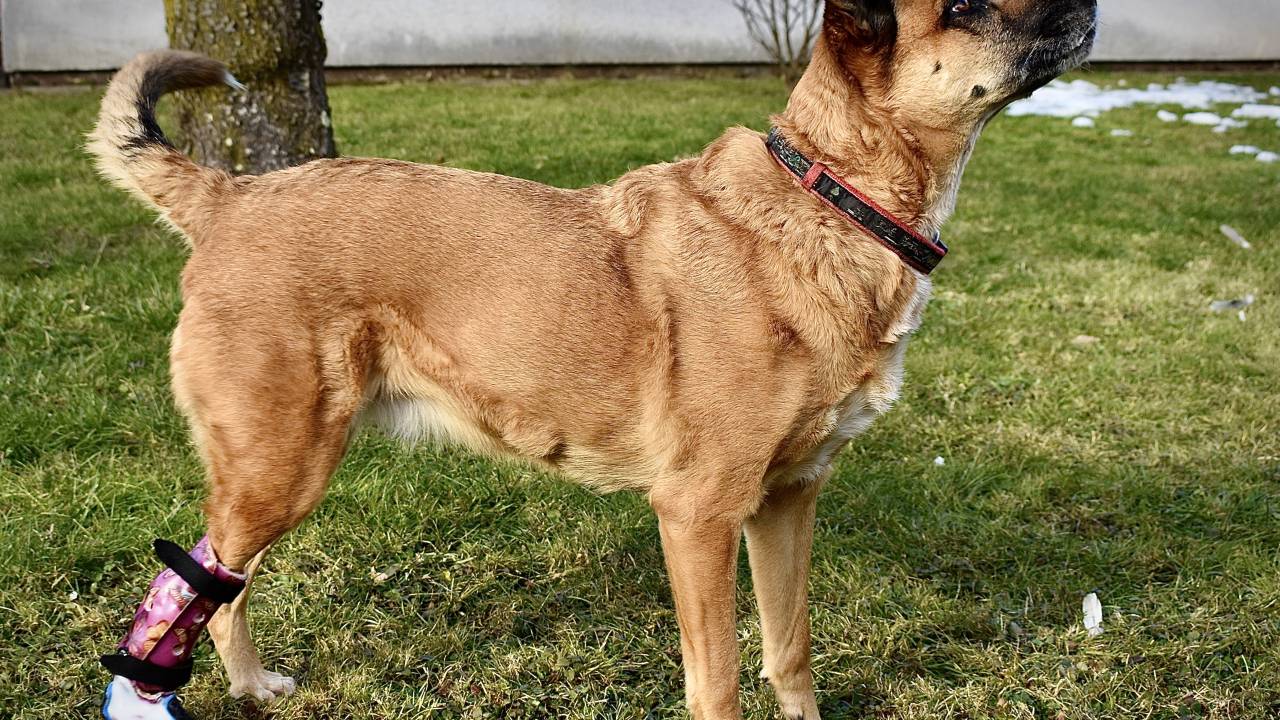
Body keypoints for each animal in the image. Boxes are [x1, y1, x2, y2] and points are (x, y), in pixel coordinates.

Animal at [89, 1, 1097, 717]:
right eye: (964, 3)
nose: (1088, 0)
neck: (832, 200)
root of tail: (227, 197)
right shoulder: (698, 514)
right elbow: (719, 682)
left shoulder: (788, 500)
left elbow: (791, 652)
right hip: (280, 468)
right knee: (205, 582)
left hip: (274, 471)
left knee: (218, 583)